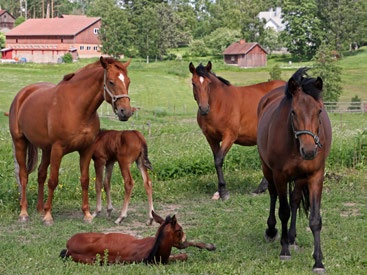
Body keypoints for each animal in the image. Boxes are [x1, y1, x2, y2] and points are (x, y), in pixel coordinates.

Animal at [8, 57, 134, 225]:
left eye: (128, 81)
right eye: (111, 82)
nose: (125, 112)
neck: (77, 108)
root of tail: (23, 94)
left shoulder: (86, 149)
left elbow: (85, 180)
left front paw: (87, 214)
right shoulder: (58, 149)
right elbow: (53, 180)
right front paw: (48, 216)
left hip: (46, 149)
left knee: (41, 174)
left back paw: (40, 208)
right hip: (20, 142)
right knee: (23, 175)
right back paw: (24, 213)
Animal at [190, 62, 288, 201]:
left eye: (209, 83)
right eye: (193, 83)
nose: (204, 109)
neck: (220, 104)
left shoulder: (229, 136)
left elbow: (219, 160)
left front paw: (223, 192)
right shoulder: (211, 139)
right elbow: (216, 161)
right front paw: (220, 192)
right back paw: (261, 188)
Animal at [258, 67, 332, 274]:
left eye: (319, 110)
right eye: (293, 112)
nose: (309, 150)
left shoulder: (315, 176)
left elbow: (314, 219)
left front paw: (318, 261)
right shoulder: (280, 175)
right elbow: (283, 211)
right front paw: (284, 251)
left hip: (299, 178)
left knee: (295, 200)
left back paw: (291, 237)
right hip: (267, 169)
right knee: (273, 195)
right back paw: (272, 231)